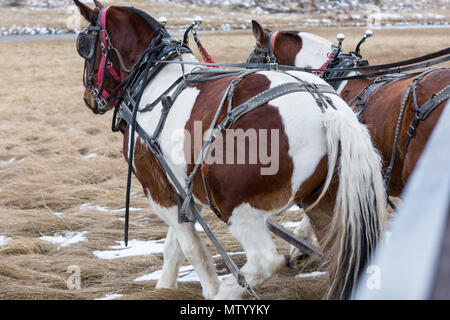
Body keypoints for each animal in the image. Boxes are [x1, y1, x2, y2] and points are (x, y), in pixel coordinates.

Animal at [73, 1, 386, 298]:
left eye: (84, 46)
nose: (89, 98)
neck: (153, 80)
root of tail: (326, 108)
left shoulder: (157, 190)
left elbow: (192, 249)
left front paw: (210, 289)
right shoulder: (184, 189)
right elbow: (174, 247)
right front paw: (164, 287)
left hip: (238, 207)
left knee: (265, 261)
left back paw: (226, 291)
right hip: (325, 200)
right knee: (338, 256)